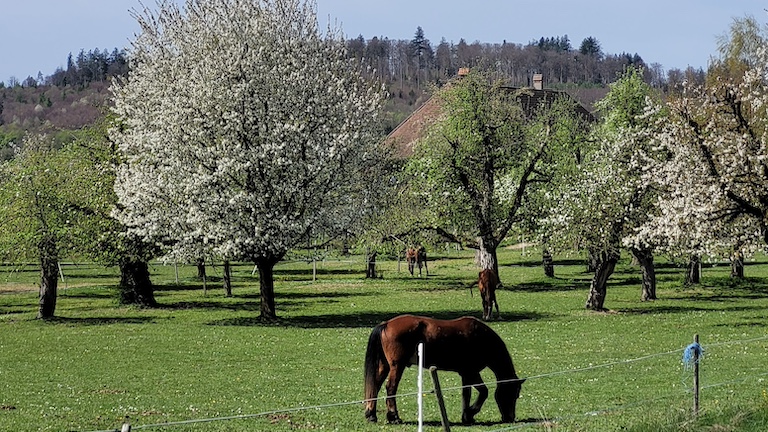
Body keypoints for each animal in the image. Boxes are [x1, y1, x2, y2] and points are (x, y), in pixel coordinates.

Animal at [362, 314, 520, 426]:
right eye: (513, 394)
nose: (510, 418)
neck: (481, 337)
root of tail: (386, 324)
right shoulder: (471, 372)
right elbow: (483, 391)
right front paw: (470, 412)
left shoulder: (466, 374)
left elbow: (466, 394)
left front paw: (466, 416)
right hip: (397, 366)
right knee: (390, 388)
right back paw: (393, 417)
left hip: (385, 366)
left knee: (375, 386)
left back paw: (371, 414)